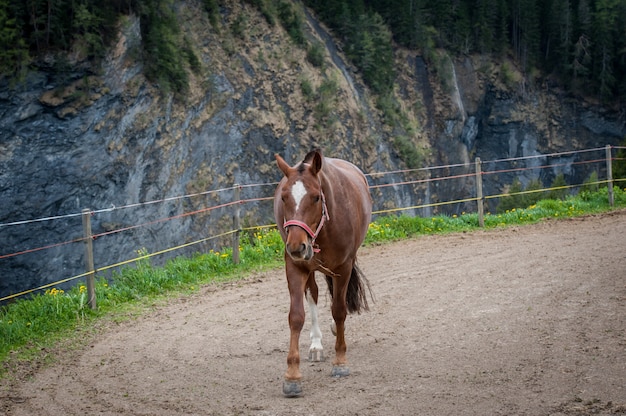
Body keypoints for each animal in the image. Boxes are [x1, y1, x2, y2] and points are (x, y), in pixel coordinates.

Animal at [272, 150, 370, 396]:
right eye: (284, 198)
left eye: (316, 197)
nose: (296, 246)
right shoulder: (295, 266)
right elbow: (296, 316)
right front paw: (292, 376)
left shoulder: (343, 267)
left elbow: (339, 310)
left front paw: (340, 362)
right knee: (313, 294)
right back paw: (316, 343)